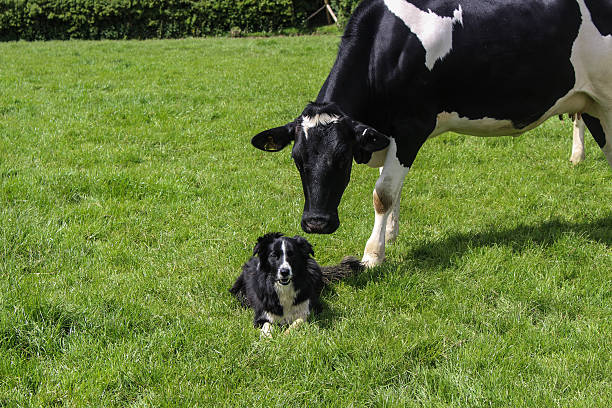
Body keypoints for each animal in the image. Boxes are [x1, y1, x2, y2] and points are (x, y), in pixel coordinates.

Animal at [231, 233, 364, 338]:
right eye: (274, 255)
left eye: (292, 255)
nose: (284, 272)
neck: (284, 288)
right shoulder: (261, 314)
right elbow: (267, 325)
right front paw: (268, 339)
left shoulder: (311, 307)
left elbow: (298, 321)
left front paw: (286, 335)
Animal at [250, 0, 612, 268]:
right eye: (297, 159)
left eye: (342, 158)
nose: (316, 224)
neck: (385, 48)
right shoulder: (385, 134)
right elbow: (391, 186)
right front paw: (390, 235)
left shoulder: (412, 127)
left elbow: (383, 193)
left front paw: (373, 255)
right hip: (593, 106)